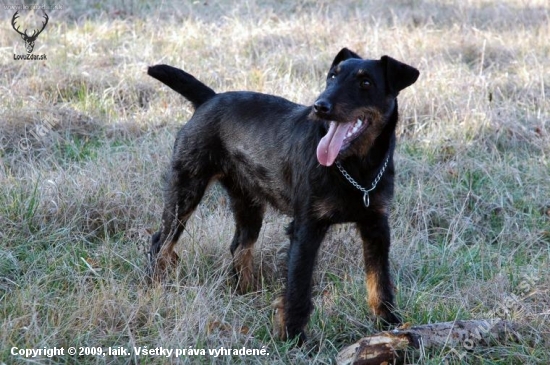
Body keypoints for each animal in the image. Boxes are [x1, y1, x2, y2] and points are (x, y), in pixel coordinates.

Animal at [147, 47, 418, 342]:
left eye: (365, 83)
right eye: (332, 77)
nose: (320, 106)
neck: (357, 168)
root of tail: (209, 99)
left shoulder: (376, 226)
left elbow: (380, 281)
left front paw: (390, 323)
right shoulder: (306, 229)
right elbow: (298, 288)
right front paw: (294, 337)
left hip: (248, 203)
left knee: (240, 246)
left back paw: (247, 293)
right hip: (185, 191)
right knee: (161, 243)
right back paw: (157, 290)